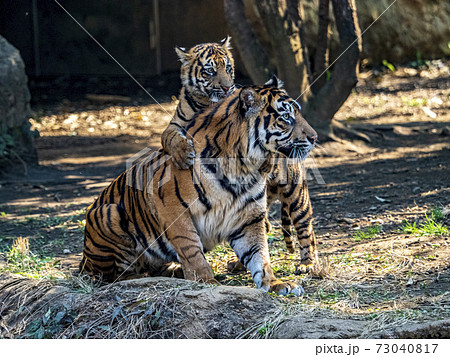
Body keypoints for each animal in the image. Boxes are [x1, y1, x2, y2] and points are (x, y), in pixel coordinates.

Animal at [80, 78, 312, 294]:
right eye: (286, 117)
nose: (314, 137)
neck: (244, 166)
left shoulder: (250, 217)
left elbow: (259, 254)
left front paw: (275, 283)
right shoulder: (173, 208)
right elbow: (191, 248)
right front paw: (206, 281)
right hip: (108, 214)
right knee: (111, 276)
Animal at [162, 37, 316, 272]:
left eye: (228, 68)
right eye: (209, 70)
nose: (227, 87)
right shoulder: (176, 125)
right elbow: (169, 138)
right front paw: (182, 153)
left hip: (295, 193)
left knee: (306, 228)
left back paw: (307, 263)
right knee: (262, 226)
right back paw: (239, 264)